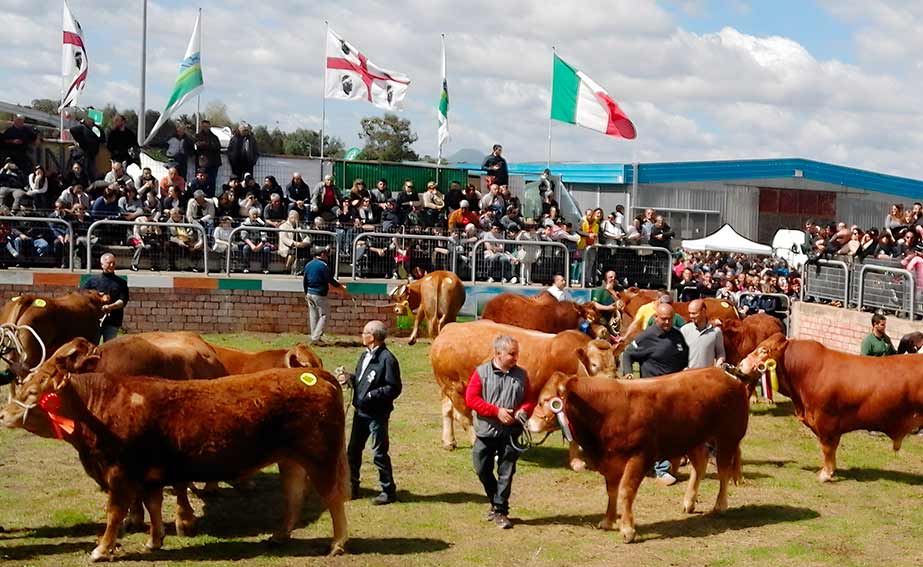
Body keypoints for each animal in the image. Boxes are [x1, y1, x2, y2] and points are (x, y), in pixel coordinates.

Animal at [430, 322, 616, 454]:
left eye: (616, 364)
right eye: (594, 365)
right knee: (464, 417)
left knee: (447, 410)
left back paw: (449, 441)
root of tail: (450, 328)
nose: (612, 382)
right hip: (455, 387)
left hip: (447, 386)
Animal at [528, 368, 752, 544]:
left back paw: (720, 505)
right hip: (692, 438)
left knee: (723, 471)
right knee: (700, 464)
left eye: (543, 401)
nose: (528, 423)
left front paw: (627, 530)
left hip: (727, 437)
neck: (606, 410)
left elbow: (626, 491)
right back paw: (689, 502)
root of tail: (728, 375)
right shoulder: (610, 461)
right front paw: (608, 520)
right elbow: (612, 491)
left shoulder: (639, 457)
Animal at [740, 336, 923, 482]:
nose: (740, 364)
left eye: (763, 350)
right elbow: (832, 449)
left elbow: (827, 448)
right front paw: (831, 471)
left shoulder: (826, 420)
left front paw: (825, 475)